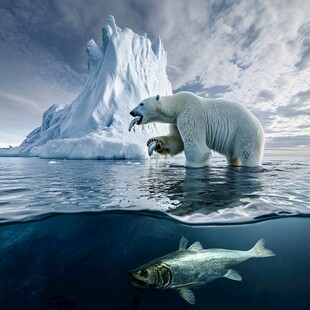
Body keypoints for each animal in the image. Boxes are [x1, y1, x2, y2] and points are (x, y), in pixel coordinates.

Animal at [130, 92, 266, 167]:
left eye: (141, 103)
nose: (131, 112)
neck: (177, 105)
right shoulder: (176, 121)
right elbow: (176, 141)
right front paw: (154, 142)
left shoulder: (190, 114)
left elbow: (196, 148)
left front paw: (191, 165)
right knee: (233, 157)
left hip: (245, 134)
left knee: (248, 155)